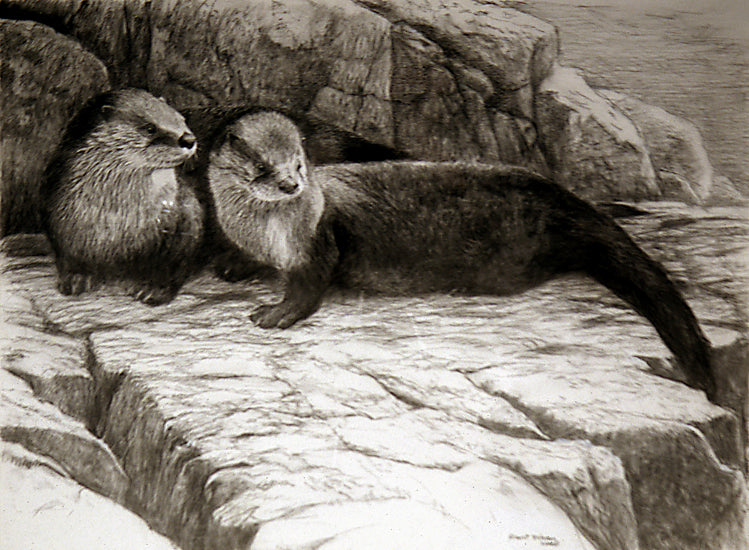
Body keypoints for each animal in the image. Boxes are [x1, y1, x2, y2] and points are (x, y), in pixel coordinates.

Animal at [44, 89, 204, 305]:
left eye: (181, 119)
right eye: (149, 128)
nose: (188, 139)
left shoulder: (184, 224)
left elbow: (172, 268)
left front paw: (154, 290)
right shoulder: (61, 224)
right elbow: (69, 258)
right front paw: (76, 279)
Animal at [207, 111, 716, 399]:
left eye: (299, 163)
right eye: (263, 166)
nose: (291, 185)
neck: (262, 230)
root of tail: (563, 202)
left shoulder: (317, 241)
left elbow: (309, 288)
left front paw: (275, 313)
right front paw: (234, 265)